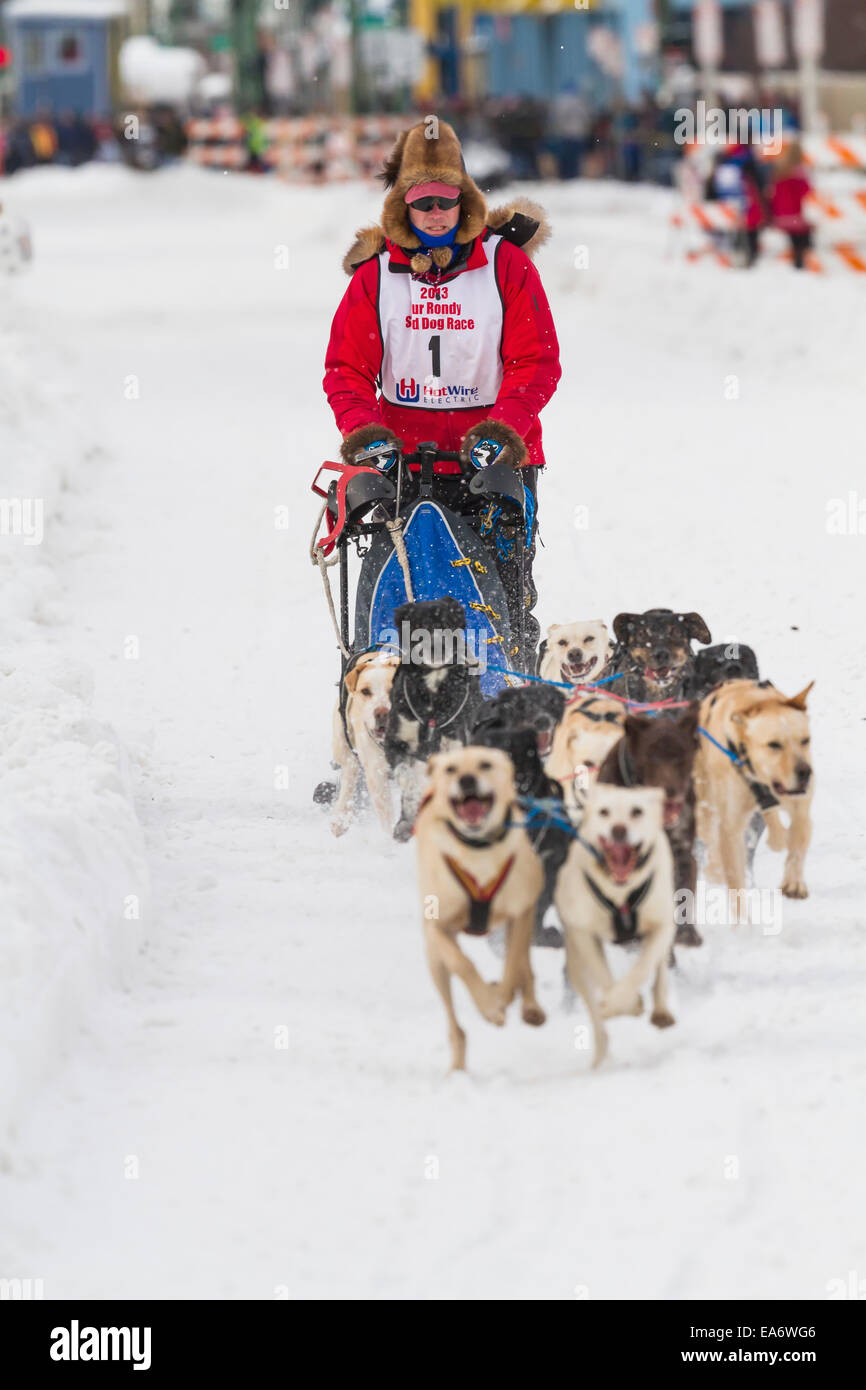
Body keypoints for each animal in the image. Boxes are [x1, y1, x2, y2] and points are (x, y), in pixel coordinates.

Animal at [330, 650, 400, 834]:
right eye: (365, 691)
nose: (382, 713)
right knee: (350, 772)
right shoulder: (377, 773)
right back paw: (341, 817)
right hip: (344, 745)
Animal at [414, 745, 547, 1067]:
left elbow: (513, 964)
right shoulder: (437, 927)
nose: (466, 779)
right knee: (455, 1025)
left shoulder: (521, 913)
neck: (479, 849)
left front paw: (502, 997)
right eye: (450, 769)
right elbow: (462, 963)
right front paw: (488, 1004)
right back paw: (458, 1066)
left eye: (485, 764)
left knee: (524, 964)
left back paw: (529, 1006)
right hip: (434, 962)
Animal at [556, 789, 678, 1067]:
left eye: (637, 811)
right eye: (604, 812)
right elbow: (603, 975)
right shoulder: (584, 933)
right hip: (576, 964)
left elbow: (643, 969)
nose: (619, 830)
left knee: (661, 970)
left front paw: (630, 1001)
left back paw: (661, 1010)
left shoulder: (661, 925)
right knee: (597, 1019)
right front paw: (623, 1005)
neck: (620, 892)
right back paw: (601, 1059)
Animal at [695, 678, 817, 906]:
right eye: (774, 745)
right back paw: (714, 870)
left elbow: (797, 839)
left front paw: (794, 882)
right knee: (710, 837)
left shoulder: (800, 806)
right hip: (705, 806)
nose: (805, 772)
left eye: (805, 740)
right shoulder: (731, 825)